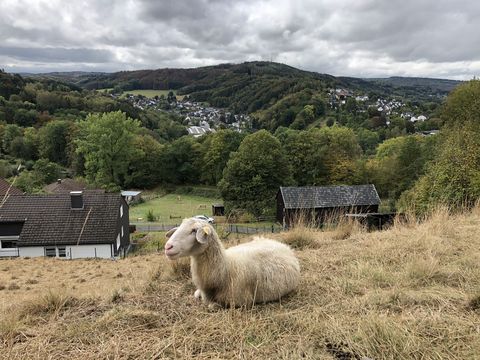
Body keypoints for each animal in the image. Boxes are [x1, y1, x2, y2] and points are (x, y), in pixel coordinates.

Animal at [165, 217, 300, 306]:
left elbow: (213, 305)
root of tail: (283, 246)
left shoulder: (238, 301)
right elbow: (197, 294)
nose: (168, 247)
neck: (226, 268)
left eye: (194, 230)